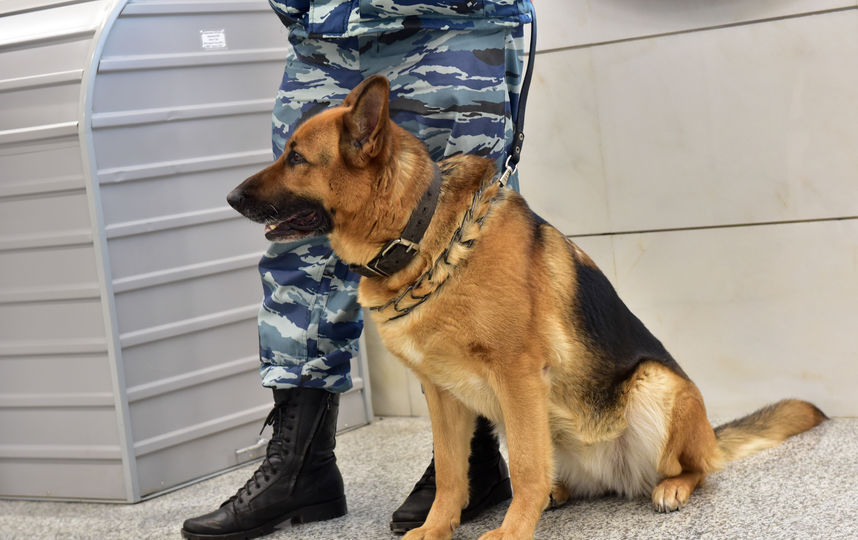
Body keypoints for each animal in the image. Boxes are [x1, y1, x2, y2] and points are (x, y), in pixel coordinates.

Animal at [227, 76, 824, 540]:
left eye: (297, 157)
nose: (231, 198)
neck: (420, 237)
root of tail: (617, 474)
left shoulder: (516, 374)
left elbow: (527, 468)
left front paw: (512, 530)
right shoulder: (442, 393)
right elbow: (451, 473)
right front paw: (438, 527)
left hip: (657, 386)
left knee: (695, 467)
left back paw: (670, 486)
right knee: (556, 476)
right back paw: (561, 494)